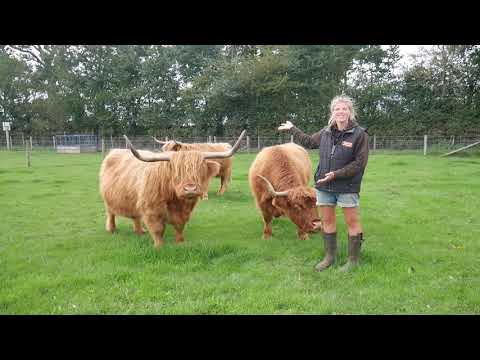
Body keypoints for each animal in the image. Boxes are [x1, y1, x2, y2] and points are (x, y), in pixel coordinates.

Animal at [99, 131, 246, 248]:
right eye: (177, 171)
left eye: (200, 169)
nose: (190, 188)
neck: (174, 199)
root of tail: (115, 151)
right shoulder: (151, 209)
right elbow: (157, 229)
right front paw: (159, 246)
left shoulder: (184, 211)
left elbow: (180, 225)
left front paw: (180, 242)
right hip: (109, 198)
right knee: (111, 213)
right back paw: (112, 229)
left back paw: (140, 231)